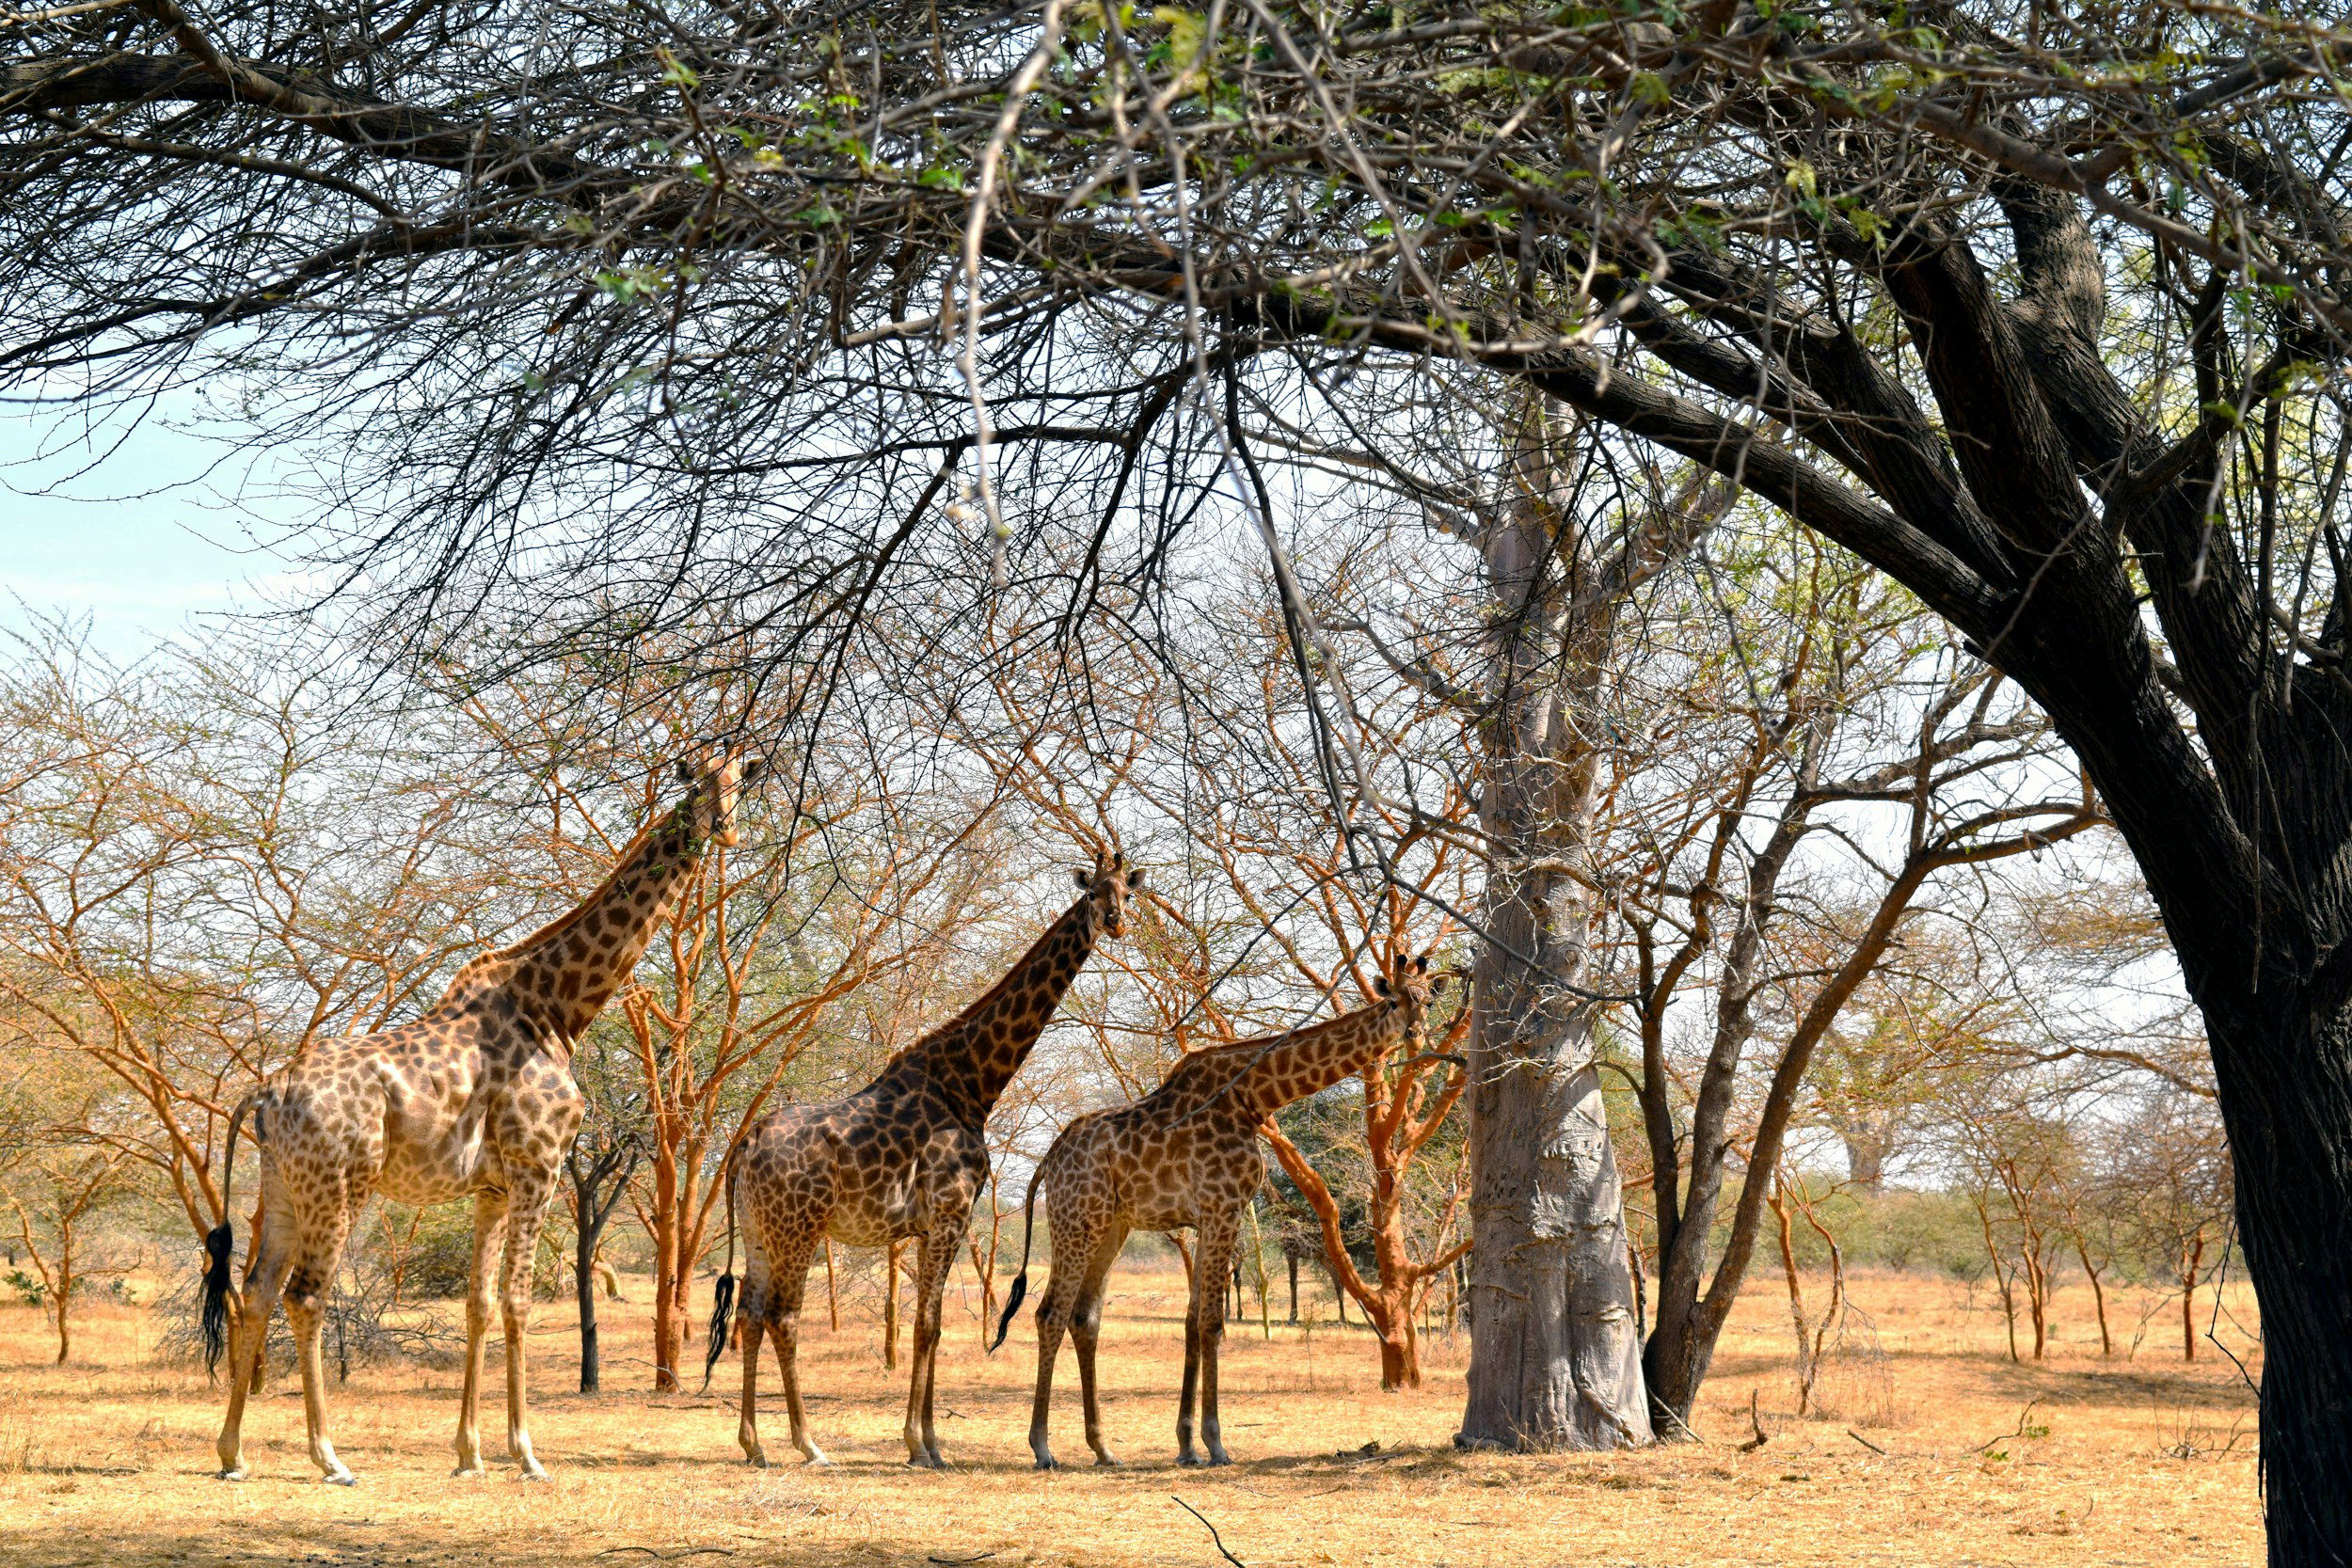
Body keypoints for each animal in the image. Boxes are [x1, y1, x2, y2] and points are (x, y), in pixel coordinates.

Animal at [199, 747, 762, 1485]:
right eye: (697, 785)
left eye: (739, 783)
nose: (724, 828)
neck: (559, 1008)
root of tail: (264, 1092)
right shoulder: (538, 1166)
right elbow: (520, 1301)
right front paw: (526, 1452)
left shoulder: (492, 1187)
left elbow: (479, 1303)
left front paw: (469, 1454)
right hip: (339, 1186)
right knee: (306, 1296)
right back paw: (330, 1457)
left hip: (285, 1185)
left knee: (257, 1290)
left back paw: (232, 1452)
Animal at [701, 850, 1143, 1466]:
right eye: (1094, 893)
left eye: (1128, 890)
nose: (1116, 923)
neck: (973, 1083)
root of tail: (746, 1144)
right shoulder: (950, 1214)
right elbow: (928, 1326)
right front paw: (918, 1442)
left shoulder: (933, 1225)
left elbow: (928, 1325)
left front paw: (930, 1443)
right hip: (800, 1226)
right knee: (782, 1316)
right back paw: (809, 1444)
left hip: (759, 1228)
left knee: (747, 1313)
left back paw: (754, 1445)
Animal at [1002, 949, 1439, 1476]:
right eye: (1394, 1000)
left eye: (1426, 1000)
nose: (1415, 1034)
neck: (1254, 1096)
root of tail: (1049, 1158)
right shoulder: (1222, 1207)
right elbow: (1211, 1322)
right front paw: (1215, 1443)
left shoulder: (1208, 1216)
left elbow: (1192, 1322)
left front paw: (1186, 1444)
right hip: (1077, 1219)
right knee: (1050, 1312)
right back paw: (1042, 1447)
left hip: (1112, 1226)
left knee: (1084, 1317)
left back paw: (1103, 1449)